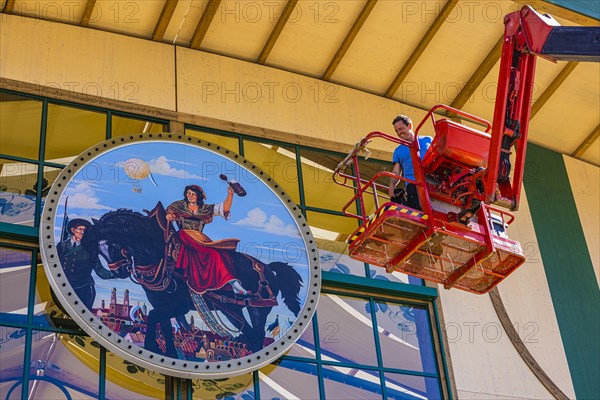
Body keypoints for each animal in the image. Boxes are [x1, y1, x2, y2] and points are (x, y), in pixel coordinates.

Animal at [82, 205, 302, 358]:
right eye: (99, 248)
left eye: (113, 245)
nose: (118, 271)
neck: (161, 254)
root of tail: (268, 267)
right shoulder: (162, 303)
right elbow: (165, 325)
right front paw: (167, 352)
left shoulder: (179, 304)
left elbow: (153, 316)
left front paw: (153, 346)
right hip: (232, 309)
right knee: (249, 333)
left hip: (258, 308)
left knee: (256, 336)